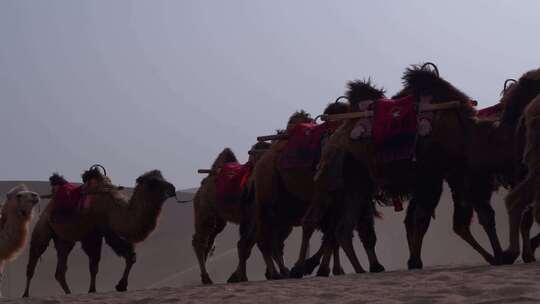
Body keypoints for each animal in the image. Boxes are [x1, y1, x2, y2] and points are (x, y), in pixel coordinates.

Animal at [23, 169, 175, 296]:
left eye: (163, 177)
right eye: (153, 182)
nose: (172, 189)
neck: (113, 208)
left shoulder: (109, 232)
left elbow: (130, 257)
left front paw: (121, 286)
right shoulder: (93, 235)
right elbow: (94, 265)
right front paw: (92, 290)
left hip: (64, 240)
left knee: (60, 269)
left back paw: (69, 293)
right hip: (43, 227)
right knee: (34, 258)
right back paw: (25, 294)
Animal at [193, 141, 270, 284]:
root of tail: (204, 184)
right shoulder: (252, 217)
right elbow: (247, 244)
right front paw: (241, 277)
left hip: (219, 220)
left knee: (209, 242)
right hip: (205, 210)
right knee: (200, 241)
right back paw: (206, 278)